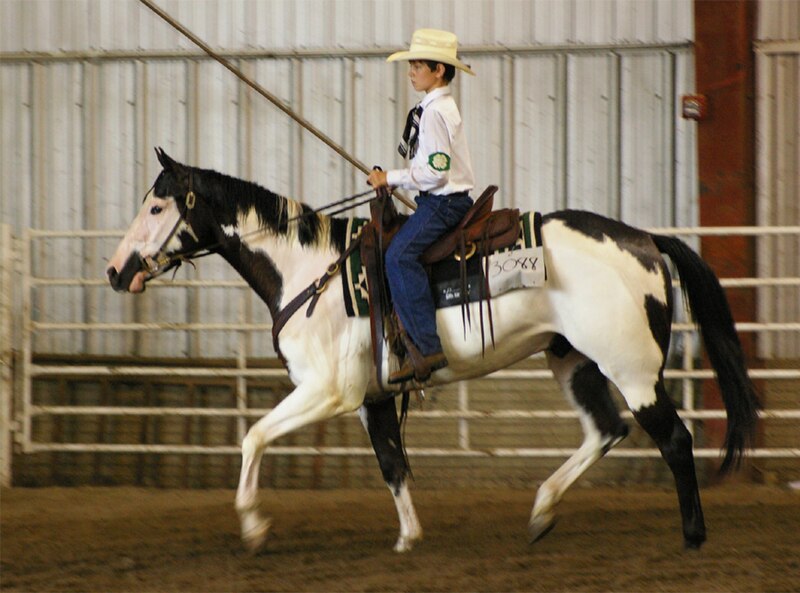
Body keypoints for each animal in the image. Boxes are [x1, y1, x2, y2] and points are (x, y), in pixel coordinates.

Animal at [108, 148, 764, 552]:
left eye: (158, 206)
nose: (117, 271)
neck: (308, 271)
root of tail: (645, 240)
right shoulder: (372, 397)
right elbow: (392, 466)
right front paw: (409, 537)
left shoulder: (327, 392)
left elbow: (253, 437)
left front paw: (252, 528)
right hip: (573, 360)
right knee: (605, 430)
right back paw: (541, 512)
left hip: (632, 368)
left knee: (673, 440)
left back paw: (692, 536)